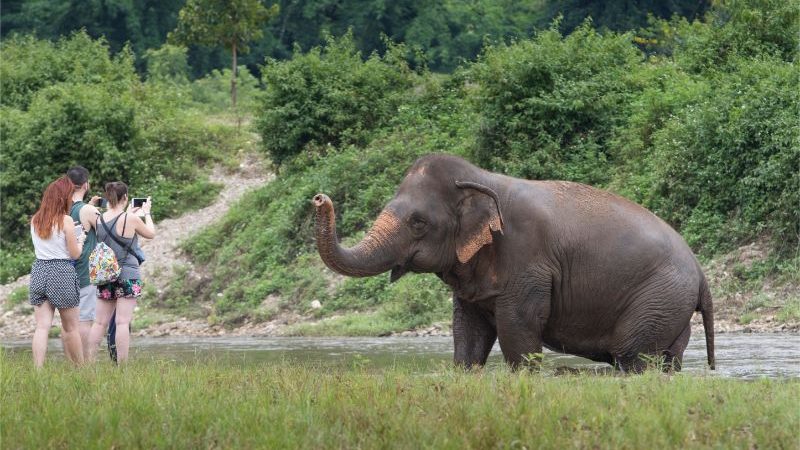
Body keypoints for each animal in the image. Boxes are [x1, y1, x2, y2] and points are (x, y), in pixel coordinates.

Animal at [310, 155, 712, 372]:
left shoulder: (528, 262)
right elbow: (468, 335)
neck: (479, 178)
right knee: (666, 360)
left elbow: (518, 332)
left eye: (418, 222)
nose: (318, 197)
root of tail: (701, 272)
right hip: (671, 308)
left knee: (633, 357)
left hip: (659, 298)